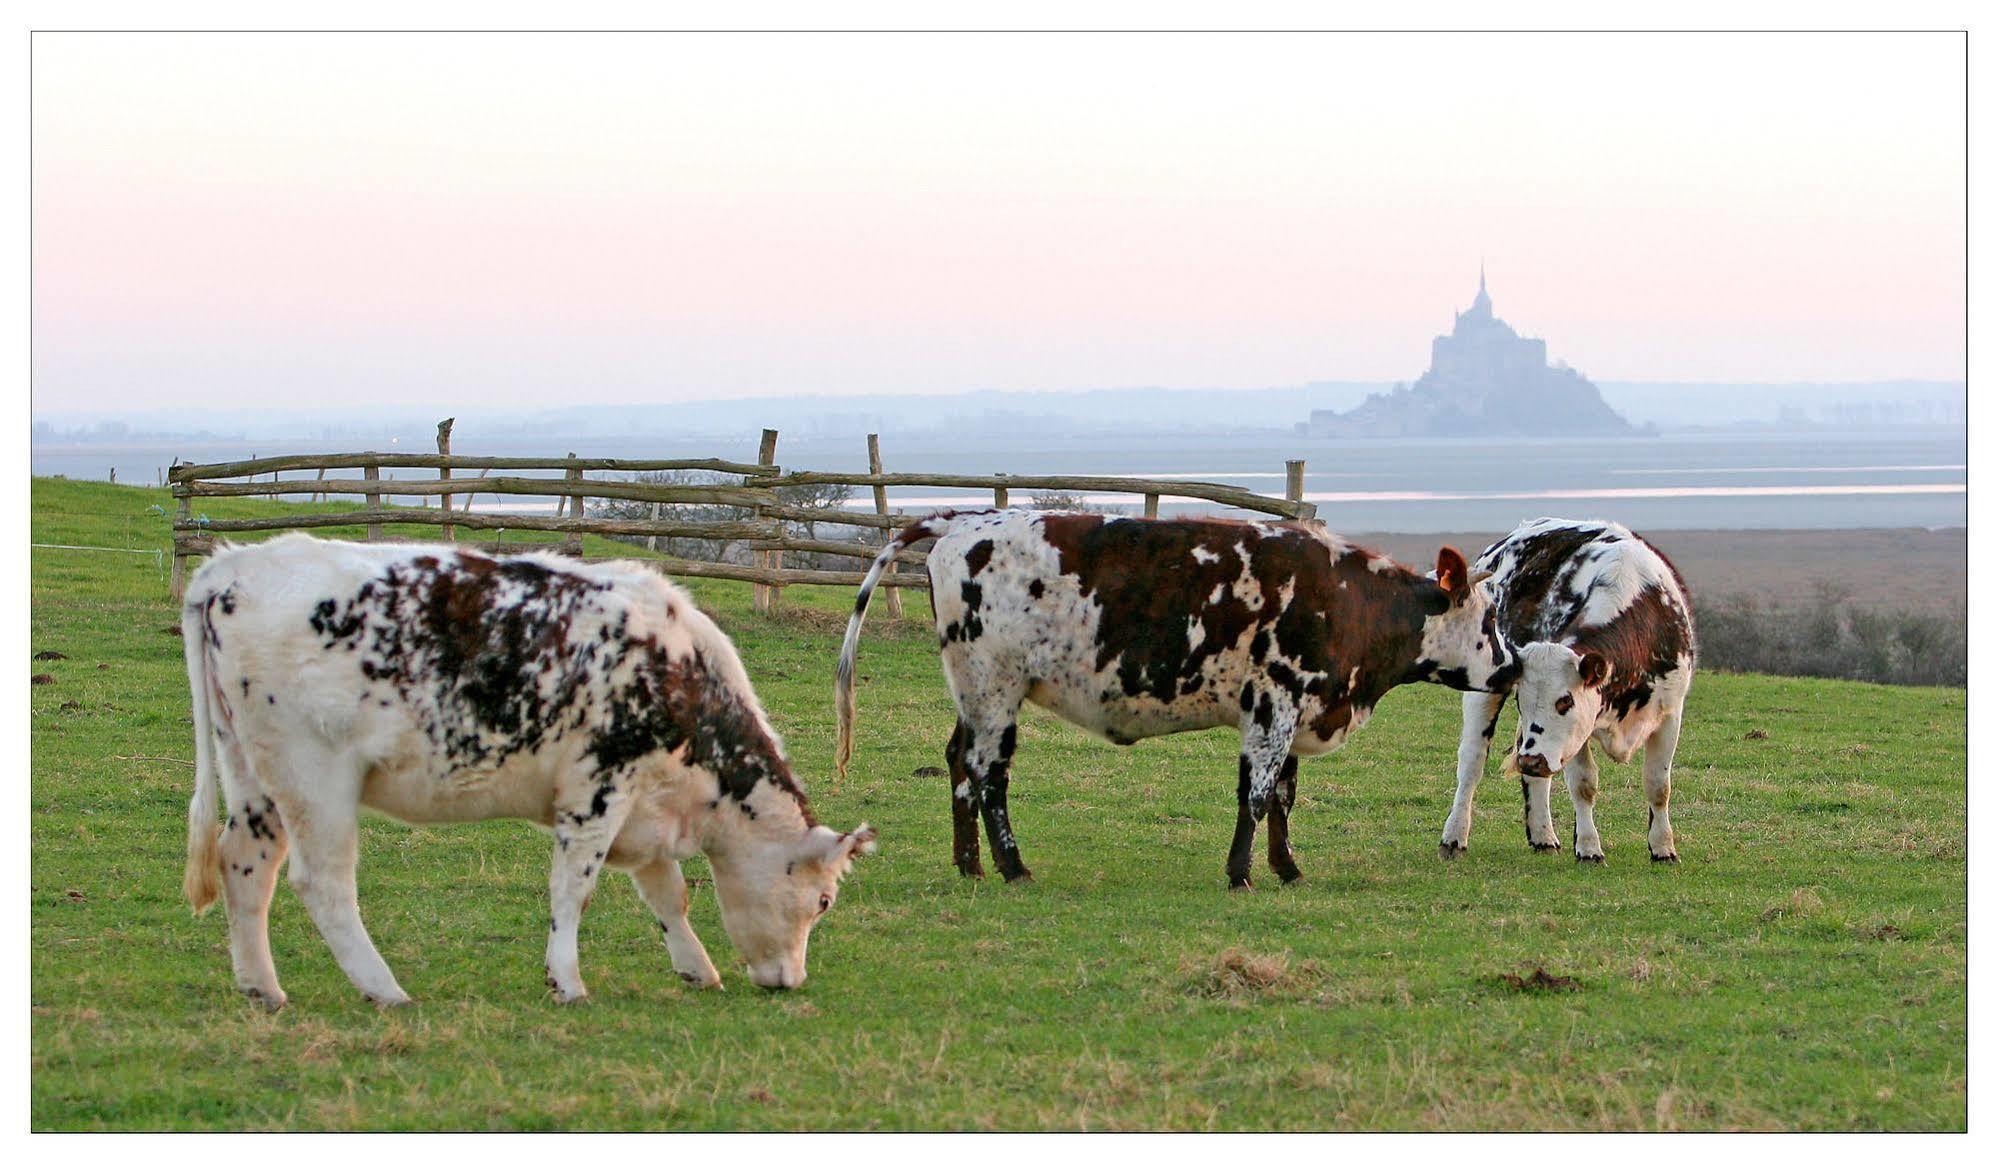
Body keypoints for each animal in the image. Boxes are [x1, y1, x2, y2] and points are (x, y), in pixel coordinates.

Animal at [183, 531, 871, 1007]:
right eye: (824, 901)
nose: (790, 980)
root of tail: (232, 567)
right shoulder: (598, 788)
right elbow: (574, 888)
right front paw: (566, 981)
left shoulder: (642, 806)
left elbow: (668, 893)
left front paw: (696, 968)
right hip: (314, 776)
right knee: (323, 882)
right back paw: (385, 989)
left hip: (251, 775)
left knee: (245, 863)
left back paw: (263, 988)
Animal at [1439, 519, 1703, 867]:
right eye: (1522, 703)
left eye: (1564, 701)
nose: (1531, 760)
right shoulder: (1580, 732)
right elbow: (1584, 785)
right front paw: (1589, 848)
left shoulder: (1670, 713)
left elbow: (1658, 785)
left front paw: (1663, 848)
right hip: (1484, 693)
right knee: (1471, 762)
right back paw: (1454, 836)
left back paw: (1543, 835)